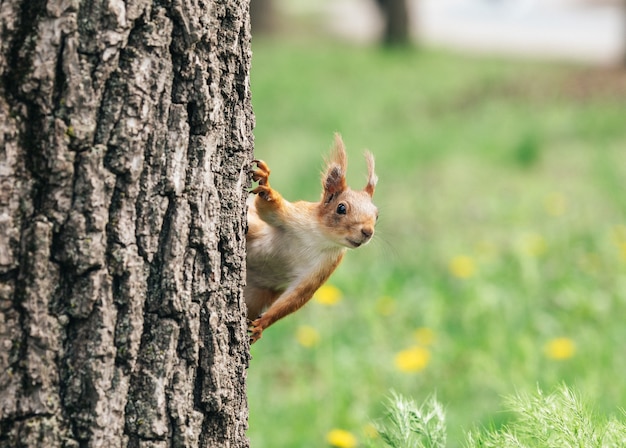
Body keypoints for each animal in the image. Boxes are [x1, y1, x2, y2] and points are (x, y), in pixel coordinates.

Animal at [246, 133, 378, 344]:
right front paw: (266, 184)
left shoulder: (326, 265)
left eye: (377, 215)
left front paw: (262, 324)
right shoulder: (295, 215)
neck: (319, 238)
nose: (367, 232)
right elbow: (268, 209)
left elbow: (299, 295)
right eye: (341, 208)